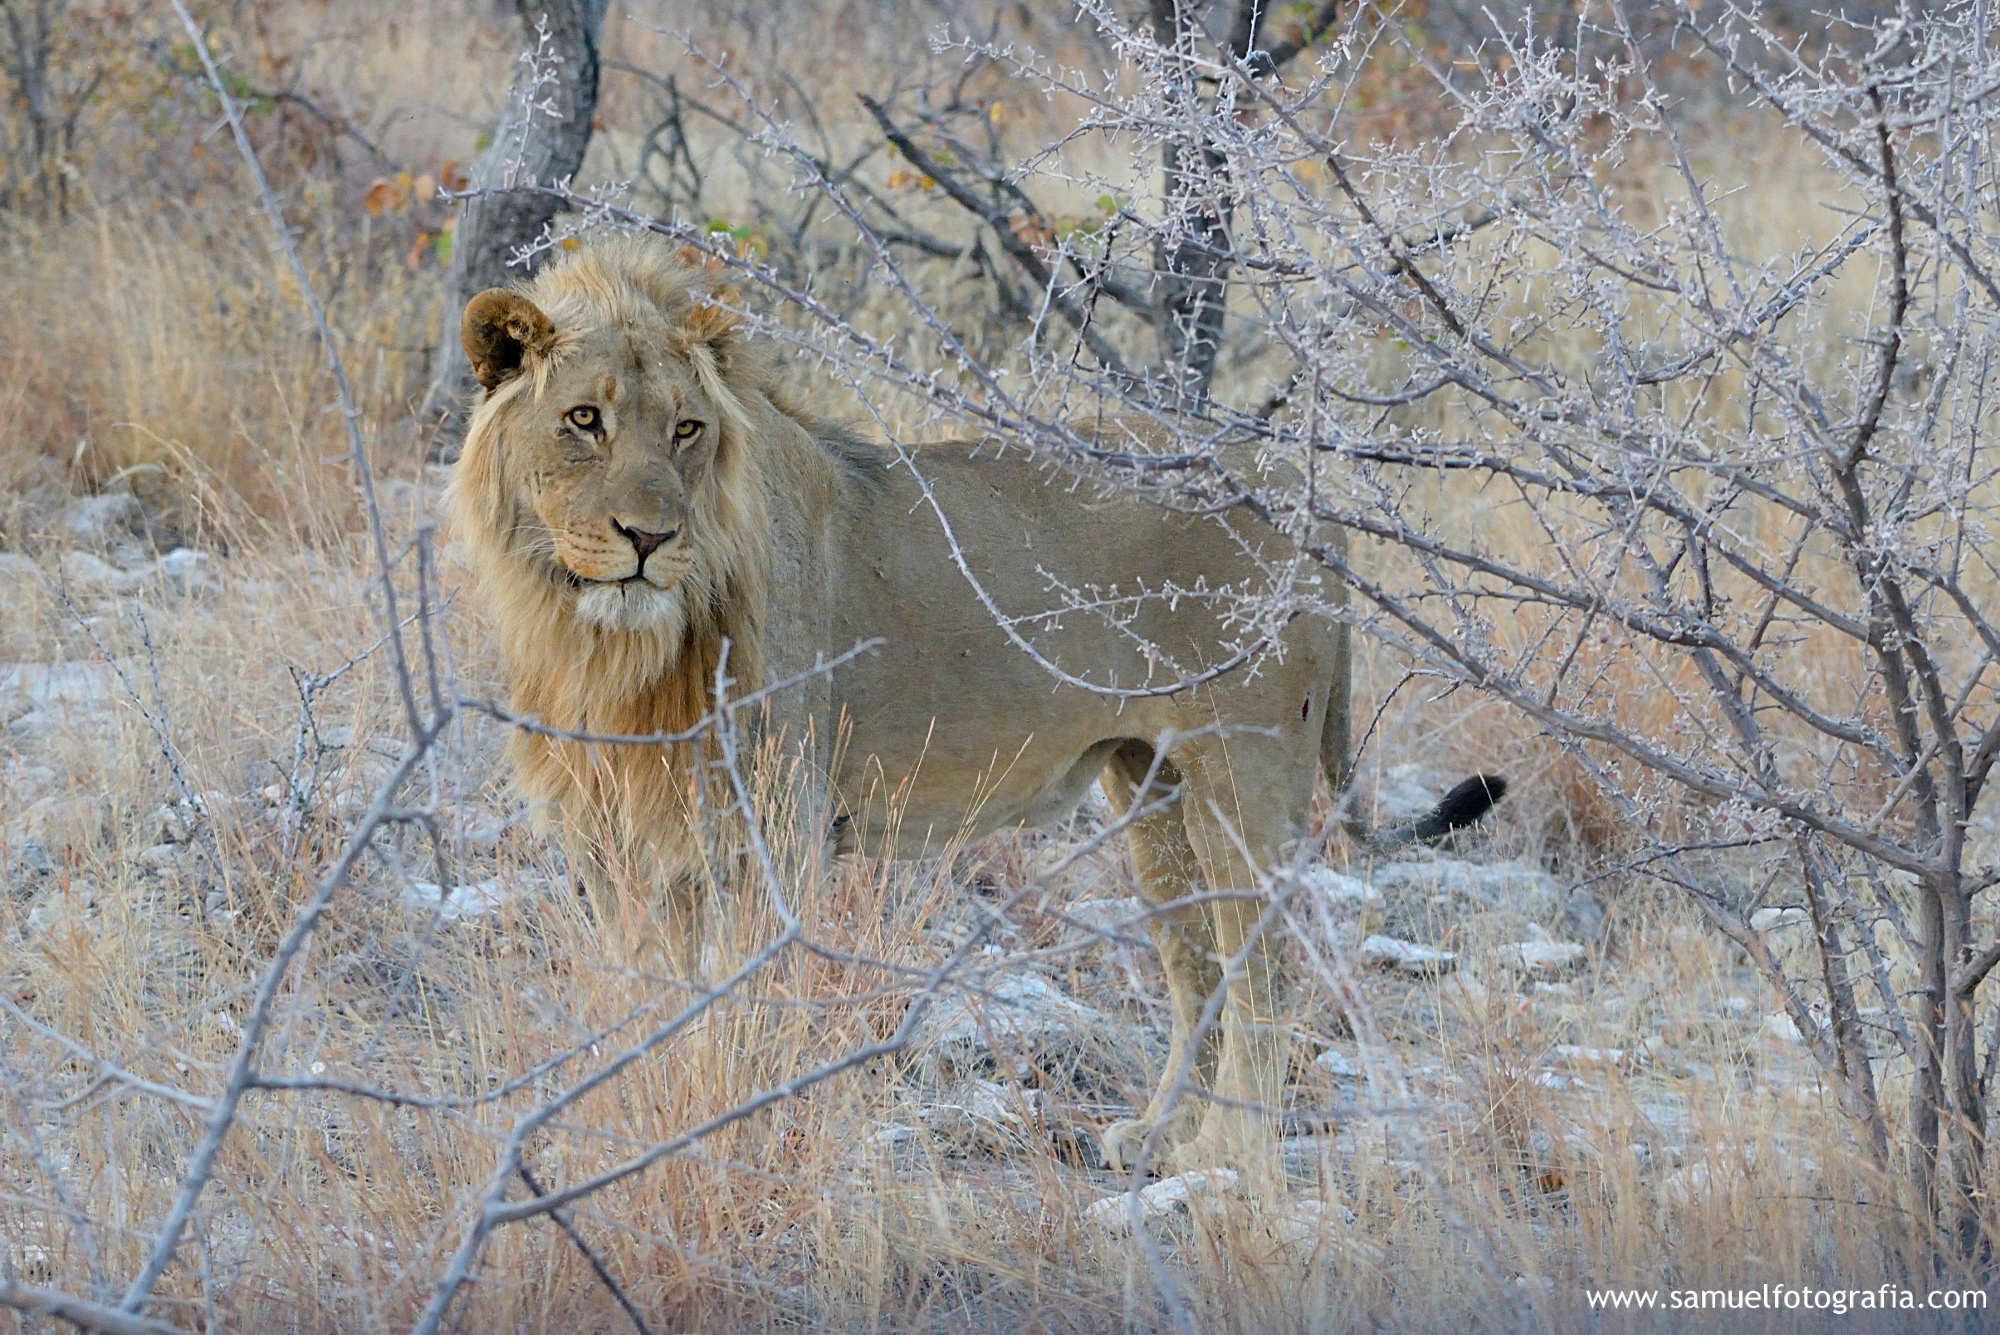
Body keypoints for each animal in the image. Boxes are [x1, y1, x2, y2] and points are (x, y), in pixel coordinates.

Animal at [446, 235, 1504, 1184]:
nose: (649, 537)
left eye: (685, 429)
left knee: (1269, 964)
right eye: (584, 419)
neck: (607, 645)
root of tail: (1299, 490)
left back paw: (1230, 1155)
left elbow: (751, 1001)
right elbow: (643, 994)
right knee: (1197, 966)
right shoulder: (612, 836)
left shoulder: (778, 819)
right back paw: (1159, 1139)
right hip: (1153, 782)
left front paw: (733, 1127)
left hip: (1245, 765)